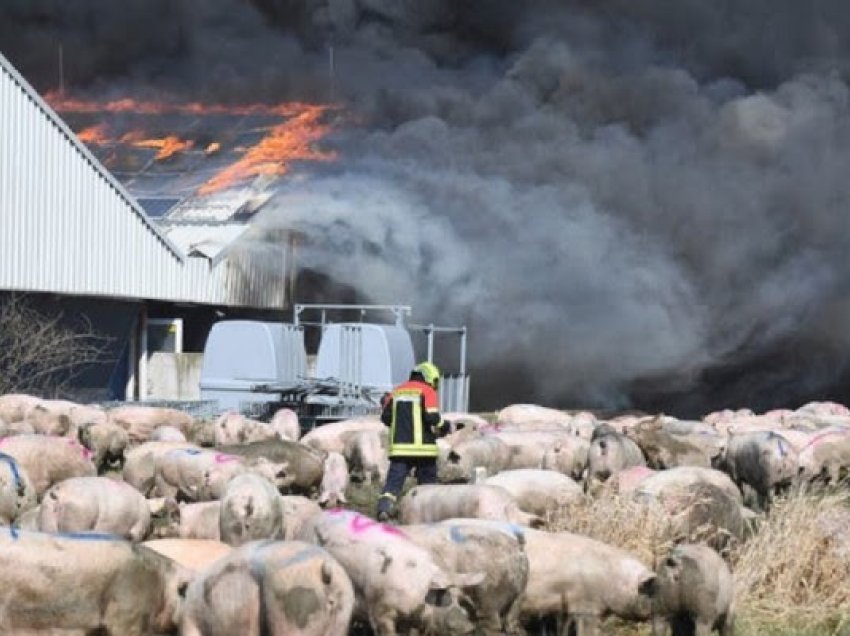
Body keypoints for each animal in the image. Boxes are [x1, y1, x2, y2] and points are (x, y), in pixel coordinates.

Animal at [400, 520, 528, 636]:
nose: (467, 628)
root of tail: (518, 549)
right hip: (519, 597)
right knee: (511, 624)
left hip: (490, 595)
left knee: (493, 623)